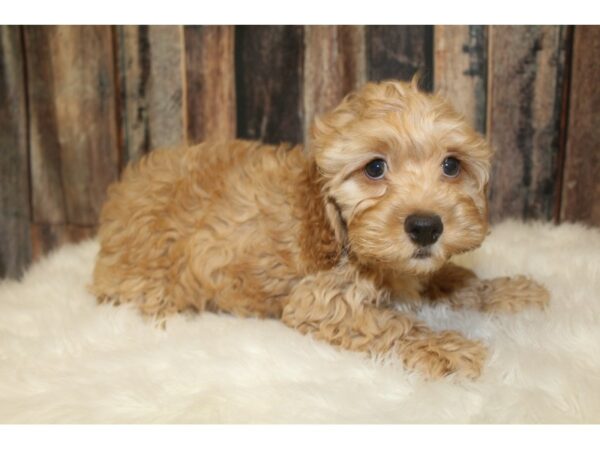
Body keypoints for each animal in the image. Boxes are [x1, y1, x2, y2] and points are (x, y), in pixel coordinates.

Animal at [90, 79, 548, 378]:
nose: (425, 227)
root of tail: (119, 195)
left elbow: (453, 277)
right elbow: (395, 324)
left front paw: (510, 291)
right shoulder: (320, 299)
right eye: (375, 168)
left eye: (451, 165)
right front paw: (448, 347)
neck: (338, 232)